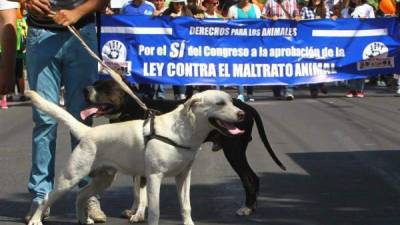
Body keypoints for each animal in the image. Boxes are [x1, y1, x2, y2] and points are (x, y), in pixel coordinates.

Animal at [25, 89, 244, 225]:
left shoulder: (183, 176)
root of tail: (88, 131)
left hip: (104, 178)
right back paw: (35, 219)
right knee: (47, 197)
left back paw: (83, 219)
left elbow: (186, 206)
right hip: (70, 177)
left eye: (231, 101)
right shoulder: (155, 177)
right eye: (220, 103)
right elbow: (154, 210)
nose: (242, 114)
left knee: (81, 195)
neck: (185, 130)